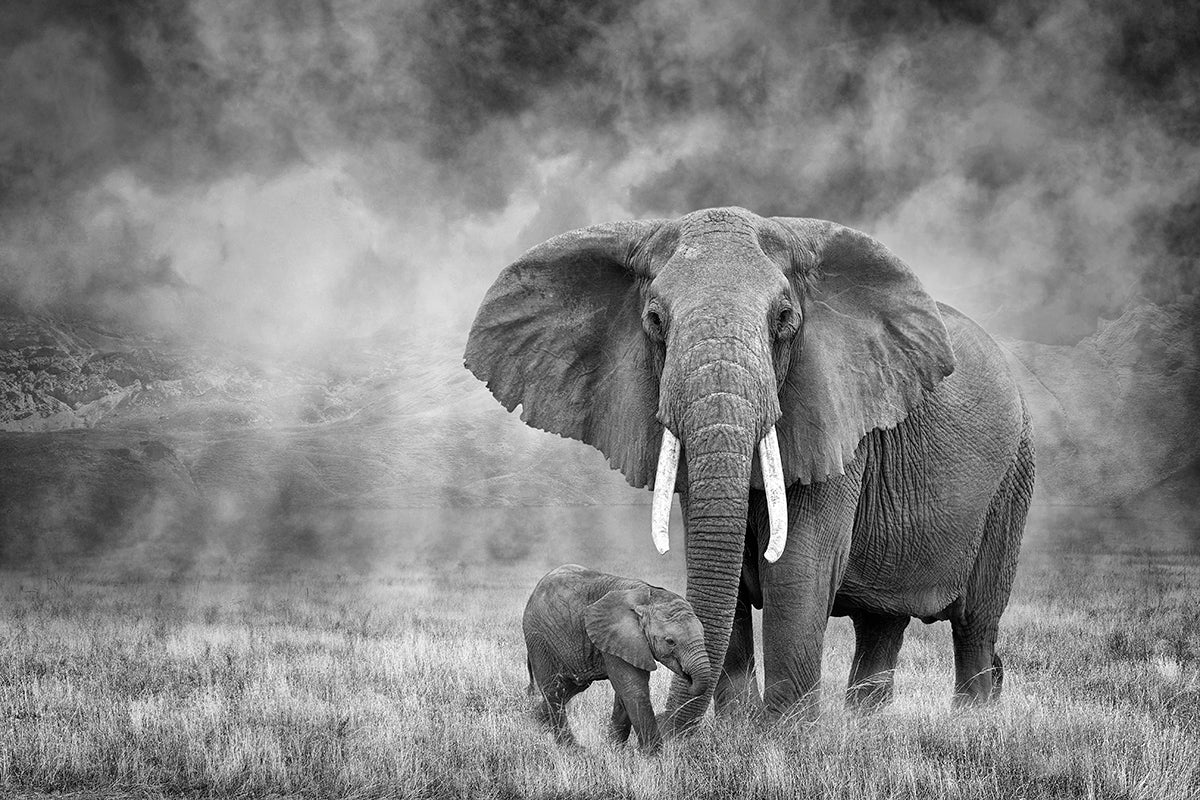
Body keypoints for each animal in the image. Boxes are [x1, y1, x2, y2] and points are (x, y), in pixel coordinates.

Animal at [469, 206, 1034, 730]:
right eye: (655, 321)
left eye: (783, 319)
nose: (668, 737)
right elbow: (724, 566)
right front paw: (736, 734)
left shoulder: (835, 416)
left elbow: (799, 570)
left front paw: (781, 741)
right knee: (882, 624)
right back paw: (865, 725)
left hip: (1012, 478)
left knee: (975, 622)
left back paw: (974, 721)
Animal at [523, 564, 710, 752]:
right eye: (670, 641)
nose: (688, 676)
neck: (648, 597)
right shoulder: (617, 636)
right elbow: (633, 688)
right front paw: (654, 756)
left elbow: (624, 692)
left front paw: (614, 749)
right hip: (539, 638)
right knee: (554, 689)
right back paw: (572, 748)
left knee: (571, 686)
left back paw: (535, 722)